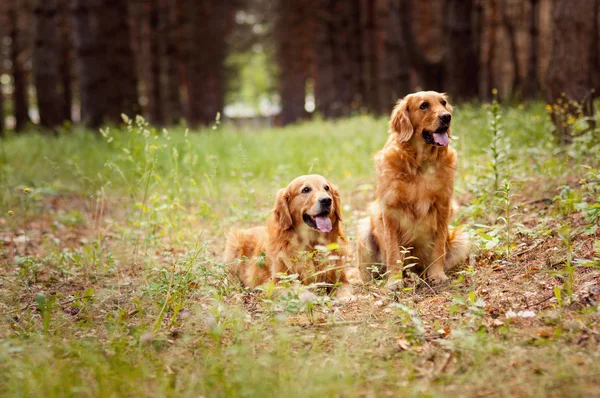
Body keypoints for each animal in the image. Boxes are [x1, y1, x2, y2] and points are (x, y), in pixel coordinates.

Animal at [356, 91, 468, 288]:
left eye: (443, 103)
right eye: (424, 105)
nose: (447, 117)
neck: (420, 165)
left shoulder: (443, 206)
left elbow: (438, 246)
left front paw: (437, 274)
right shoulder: (390, 211)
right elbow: (393, 252)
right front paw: (394, 282)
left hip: (462, 239)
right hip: (364, 232)